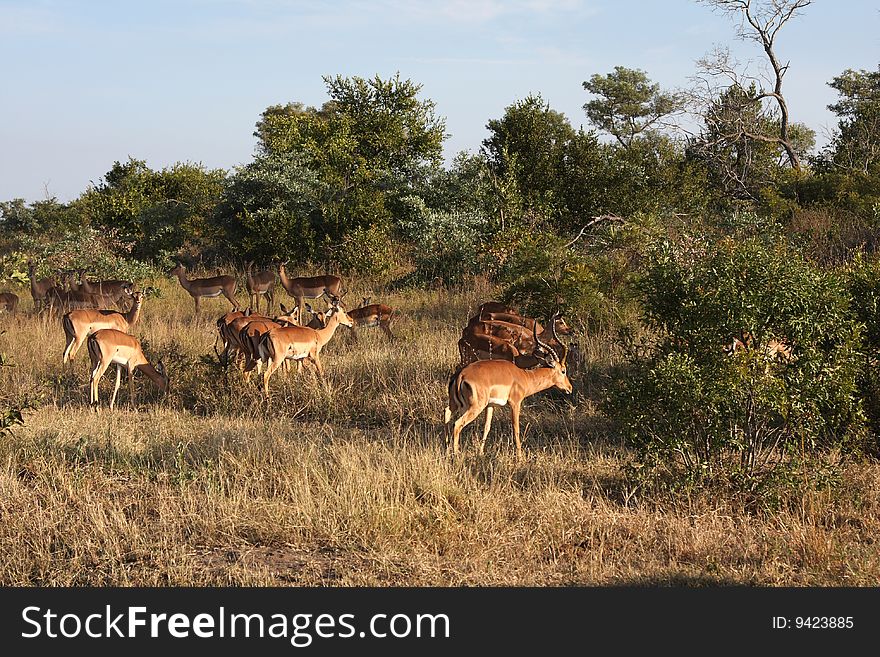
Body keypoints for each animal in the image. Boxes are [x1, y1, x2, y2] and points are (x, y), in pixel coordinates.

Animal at [444, 322, 576, 456]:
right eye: (563, 370)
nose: (569, 388)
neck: (524, 376)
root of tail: (461, 375)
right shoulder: (515, 403)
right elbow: (515, 428)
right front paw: (520, 456)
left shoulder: (490, 405)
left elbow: (487, 427)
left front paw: (480, 453)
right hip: (475, 407)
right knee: (457, 424)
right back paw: (456, 454)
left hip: (457, 404)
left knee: (447, 413)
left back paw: (447, 449)